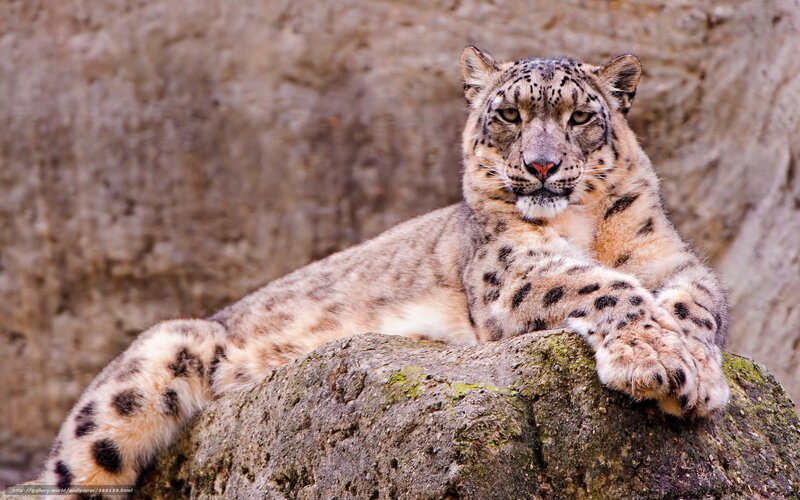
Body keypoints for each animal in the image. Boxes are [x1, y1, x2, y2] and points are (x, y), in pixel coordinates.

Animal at [38, 46, 730, 495]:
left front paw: (694, 364)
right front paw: (659, 362)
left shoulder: (670, 257)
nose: (540, 166)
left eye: (579, 117)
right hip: (149, 368)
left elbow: (699, 300)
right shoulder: (511, 270)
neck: (583, 225)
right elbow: (601, 284)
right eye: (508, 115)